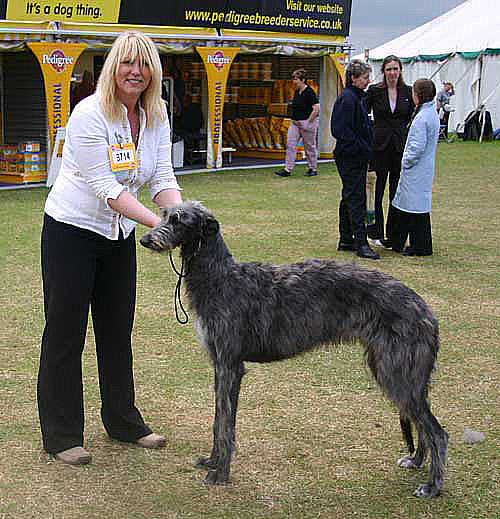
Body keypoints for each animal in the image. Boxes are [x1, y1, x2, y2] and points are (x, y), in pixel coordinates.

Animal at [141, 201, 450, 498]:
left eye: (178, 220)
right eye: (164, 214)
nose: (145, 239)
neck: (220, 278)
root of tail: (426, 311)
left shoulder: (230, 364)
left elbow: (226, 423)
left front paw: (221, 473)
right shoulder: (219, 363)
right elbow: (219, 420)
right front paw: (213, 461)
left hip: (396, 371)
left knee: (437, 432)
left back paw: (432, 485)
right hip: (395, 370)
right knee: (422, 423)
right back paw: (417, 461)